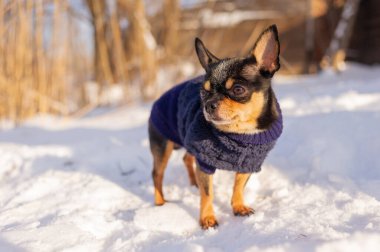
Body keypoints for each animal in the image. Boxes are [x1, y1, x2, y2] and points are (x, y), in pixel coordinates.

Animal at [148, 25, 282, 228]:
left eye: (238, 89)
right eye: (203, 92)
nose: (208, 104)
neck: (242, 132)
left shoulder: (249, 163)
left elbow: (238, 187)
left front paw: (239, 207)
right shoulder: (205, 161)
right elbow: (207, 193)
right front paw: (208, 219)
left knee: (186, 158)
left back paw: (193, 183)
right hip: (163, 147)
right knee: (157, 174)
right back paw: (160, 203)